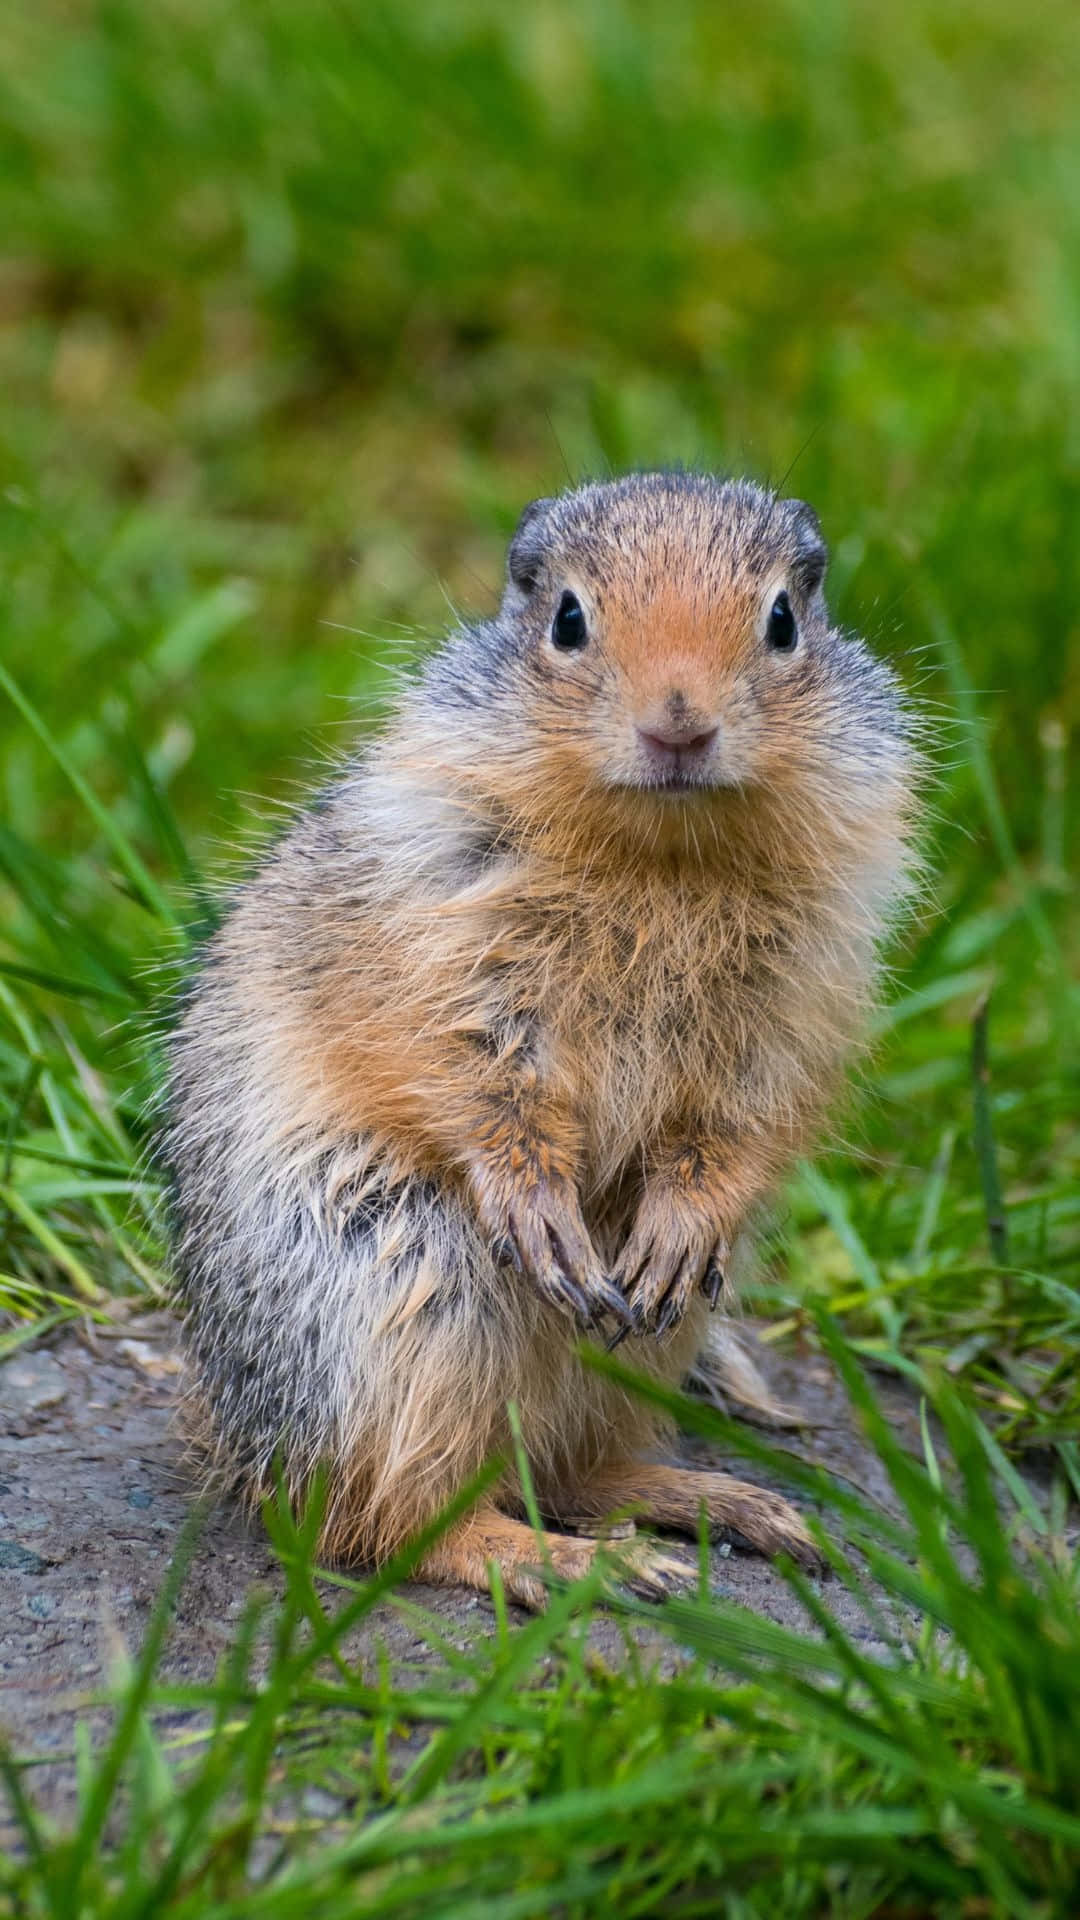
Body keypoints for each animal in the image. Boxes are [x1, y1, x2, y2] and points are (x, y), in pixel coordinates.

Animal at [161, 468, 914, 1605]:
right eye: (567, 619)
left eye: (784, 621)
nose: (679, 727)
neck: (664, 853)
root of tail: (247, 1446)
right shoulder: (449, 956)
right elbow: (477, 1082)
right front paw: (543, 1214)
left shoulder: (796, 1001)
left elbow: (746, 1116)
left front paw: (674, 1229)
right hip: (409, 1305)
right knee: (390, 1523)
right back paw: (571, 1566)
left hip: (643, 1348)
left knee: (564, 1467)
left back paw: (723, 1505)